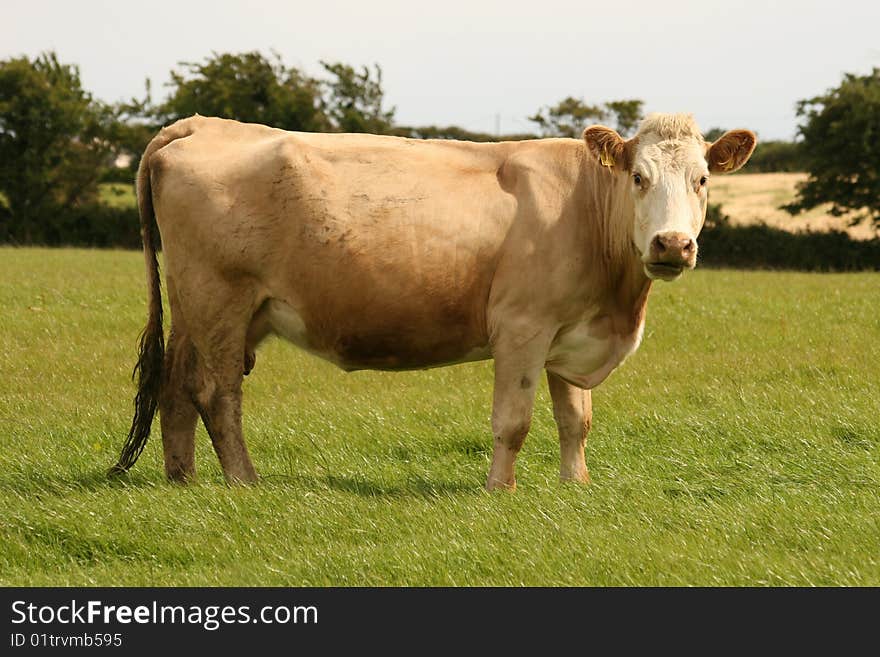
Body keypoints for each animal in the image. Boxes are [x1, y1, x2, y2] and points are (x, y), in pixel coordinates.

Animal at [110, 113, 756, 486]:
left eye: (702, 179)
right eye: (638, 178)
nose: (672, 243)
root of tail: (203, 124)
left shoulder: (571, 330)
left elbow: (576, 420)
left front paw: (576, 487)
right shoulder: (522, 326)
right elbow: (514, 420)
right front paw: (500, 491)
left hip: (198, 305)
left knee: (176, 385)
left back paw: (182, 479)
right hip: (221, 297)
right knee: (216, 393)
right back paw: (244, 481)